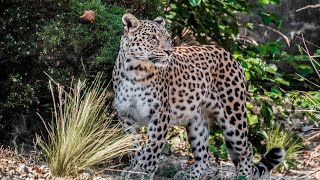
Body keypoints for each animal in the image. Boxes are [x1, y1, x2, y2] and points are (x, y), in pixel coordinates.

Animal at [112, 13, 284, 179]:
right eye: (153, 38)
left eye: (168, 38)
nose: (169, 51)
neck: (135, 70)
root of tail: (230, 55)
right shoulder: (126, 115)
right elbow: (131, 145)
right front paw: (133, 168)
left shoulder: (160, 113)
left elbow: (152, 146)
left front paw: (143, 172)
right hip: (197, 120)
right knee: (205, 154)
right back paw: (189, 174)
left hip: (232, 115)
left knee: (246, 147)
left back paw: (243, 175)